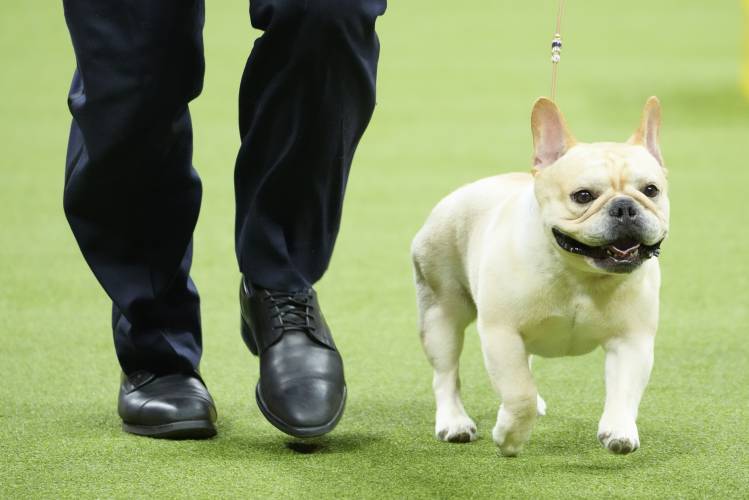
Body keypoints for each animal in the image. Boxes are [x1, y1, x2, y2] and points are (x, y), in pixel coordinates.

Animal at [412, 97, 668, 458]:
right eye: (583, 196)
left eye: (651, 190)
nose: (624, 207)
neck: (580, 274)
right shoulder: (502, 334)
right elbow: (520, 394)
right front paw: (509, 437)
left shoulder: (632, 340)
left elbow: (625, 390)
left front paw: (619, 429)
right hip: (442, 315)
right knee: (446, 374)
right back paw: (454, 422)